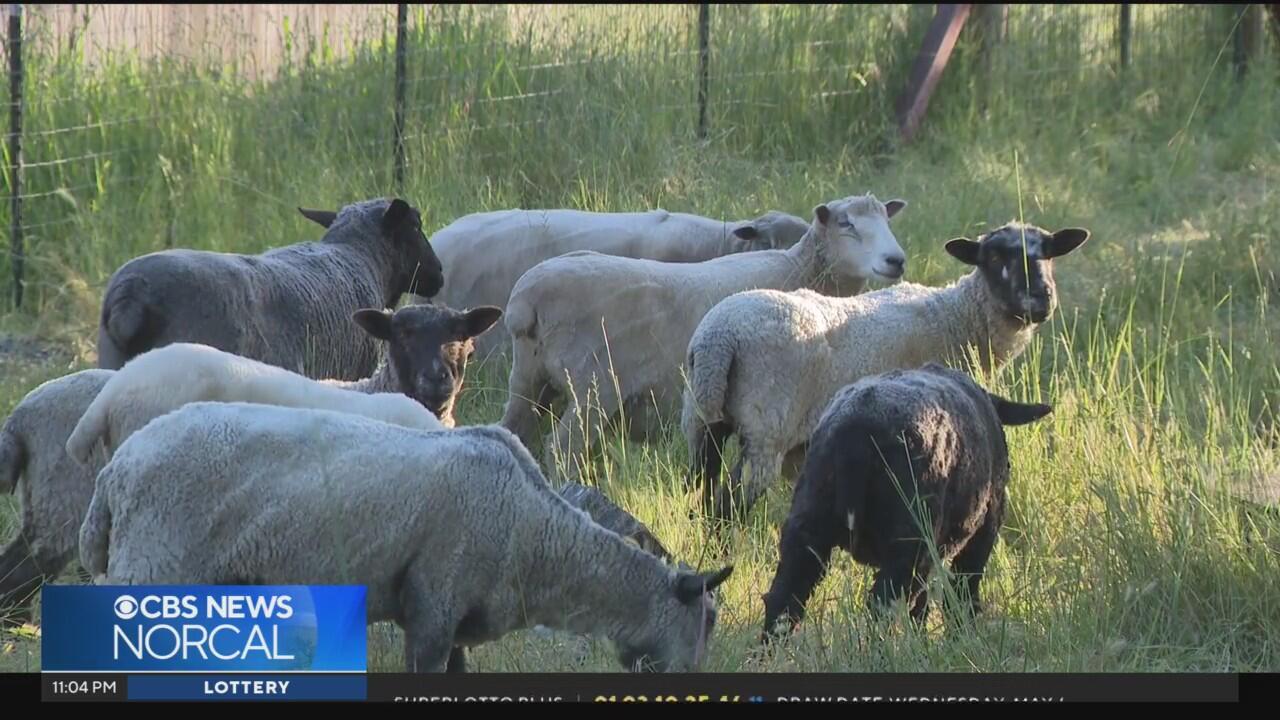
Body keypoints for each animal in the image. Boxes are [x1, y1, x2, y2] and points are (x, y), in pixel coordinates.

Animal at [79, 401, 735, 673]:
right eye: (706, 619)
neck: (538, 537)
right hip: (156, 565)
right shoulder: (433, 604)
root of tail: (116, 473)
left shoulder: (456, 620)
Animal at [500, 194, 908, 482]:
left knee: (514, 431)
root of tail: (526, 299)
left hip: (528, 378)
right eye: (846, 223)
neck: (798, 269)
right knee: (562, 451)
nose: (897, 260)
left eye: (888, 221)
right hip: (593, 389)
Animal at [682, 220, 1089, 521]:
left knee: (698, 492)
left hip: (705, 419)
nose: (1040, 301)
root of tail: (720, 335)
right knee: (727, 507)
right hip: (766, 430)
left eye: (1048, 253)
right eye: (992, 256)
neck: (955, 316)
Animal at [760, 363, 1052, 640]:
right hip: (908, 536)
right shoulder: (983, 529)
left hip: (809, 520)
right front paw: (959, 636)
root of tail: (855, 434)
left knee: (784, 599)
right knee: (884, 604)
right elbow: (961, 590)